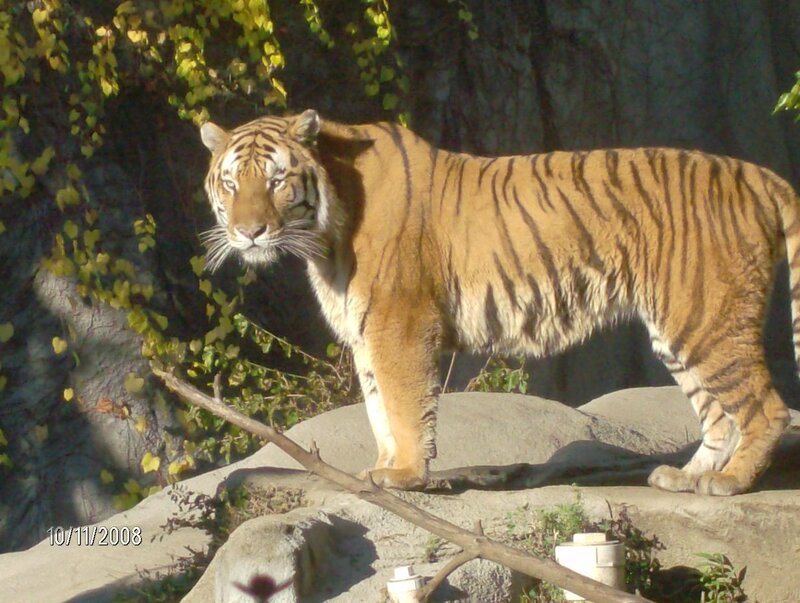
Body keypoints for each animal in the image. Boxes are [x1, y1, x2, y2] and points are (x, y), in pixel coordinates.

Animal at [199, 109, 798, 496]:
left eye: (277, 180)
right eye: (230, 183)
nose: (249, 232)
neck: (326, 231)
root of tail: (756, 172)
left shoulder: (399, 325)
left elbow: (403, 405)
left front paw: (405, 475)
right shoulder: (366, 331)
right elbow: (376, 408)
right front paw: (380, 467)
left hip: (707, 318)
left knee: (767, 409)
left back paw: (729, 484)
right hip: (679, 329)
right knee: (719, 415)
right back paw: (688, 478)